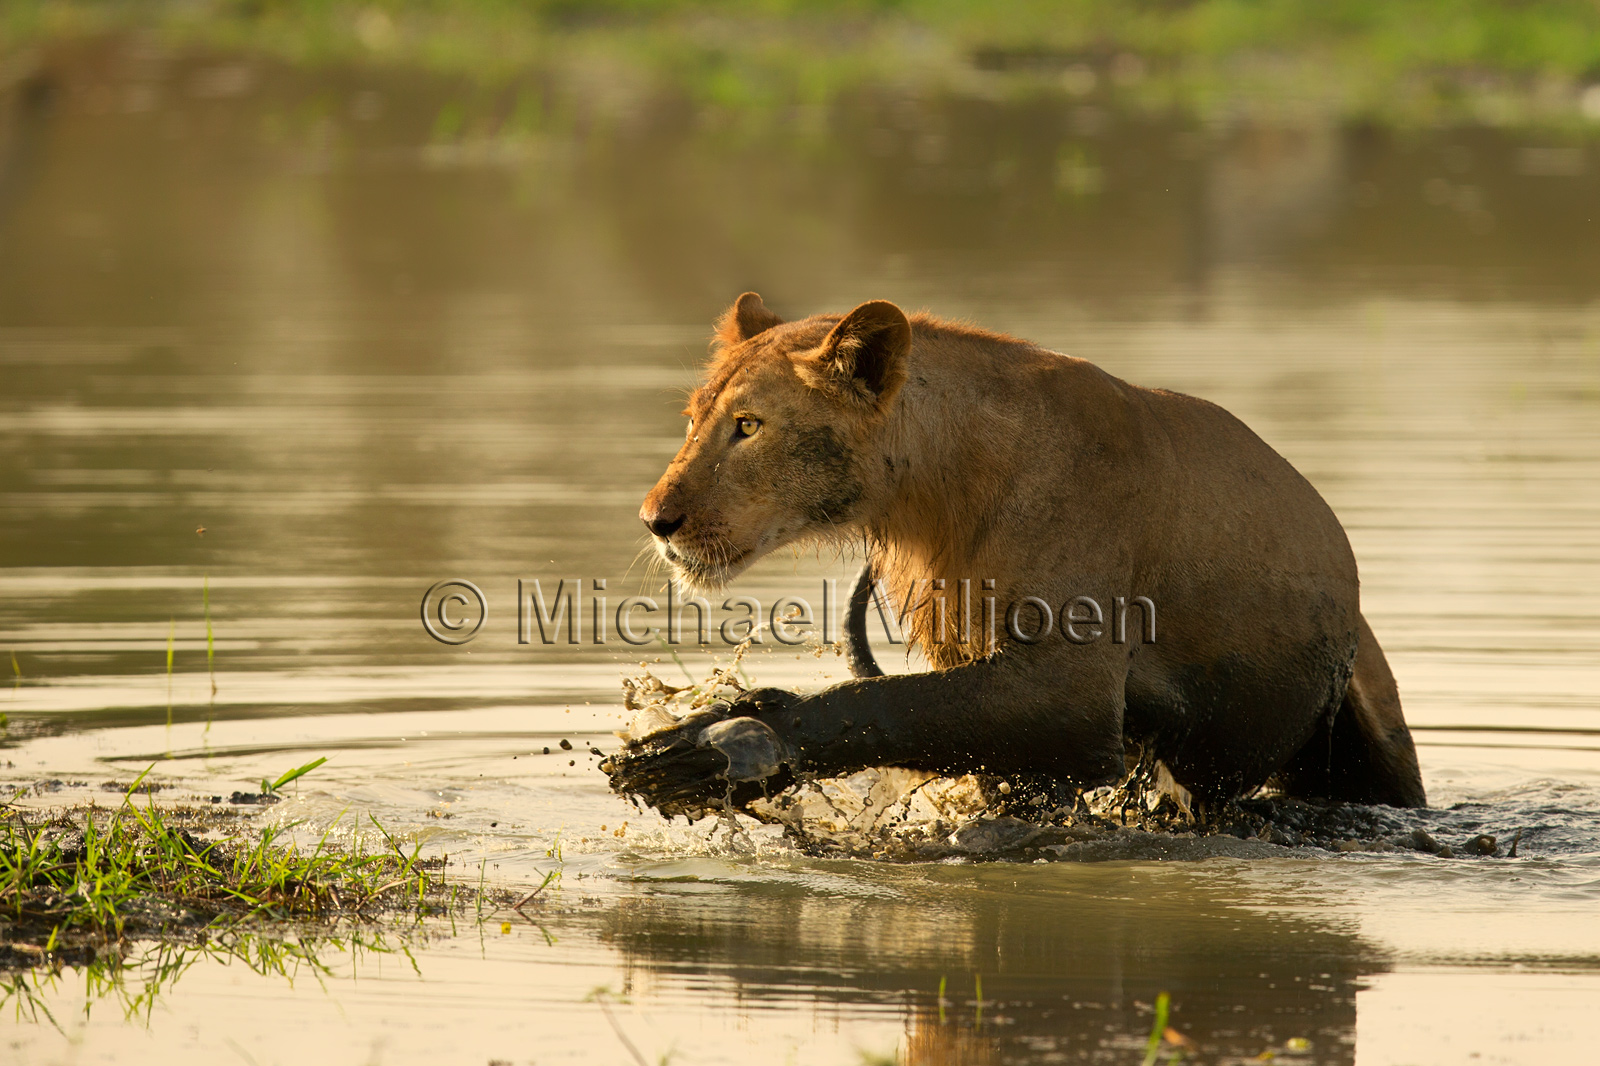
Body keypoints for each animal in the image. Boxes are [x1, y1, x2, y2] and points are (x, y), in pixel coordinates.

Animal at [625, 293, 1426, 813]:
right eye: (693, 419)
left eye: (749, 425)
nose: (655, 521)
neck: (930, 499)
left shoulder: (1070, 695)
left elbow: (883, 701)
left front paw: (711, 747)